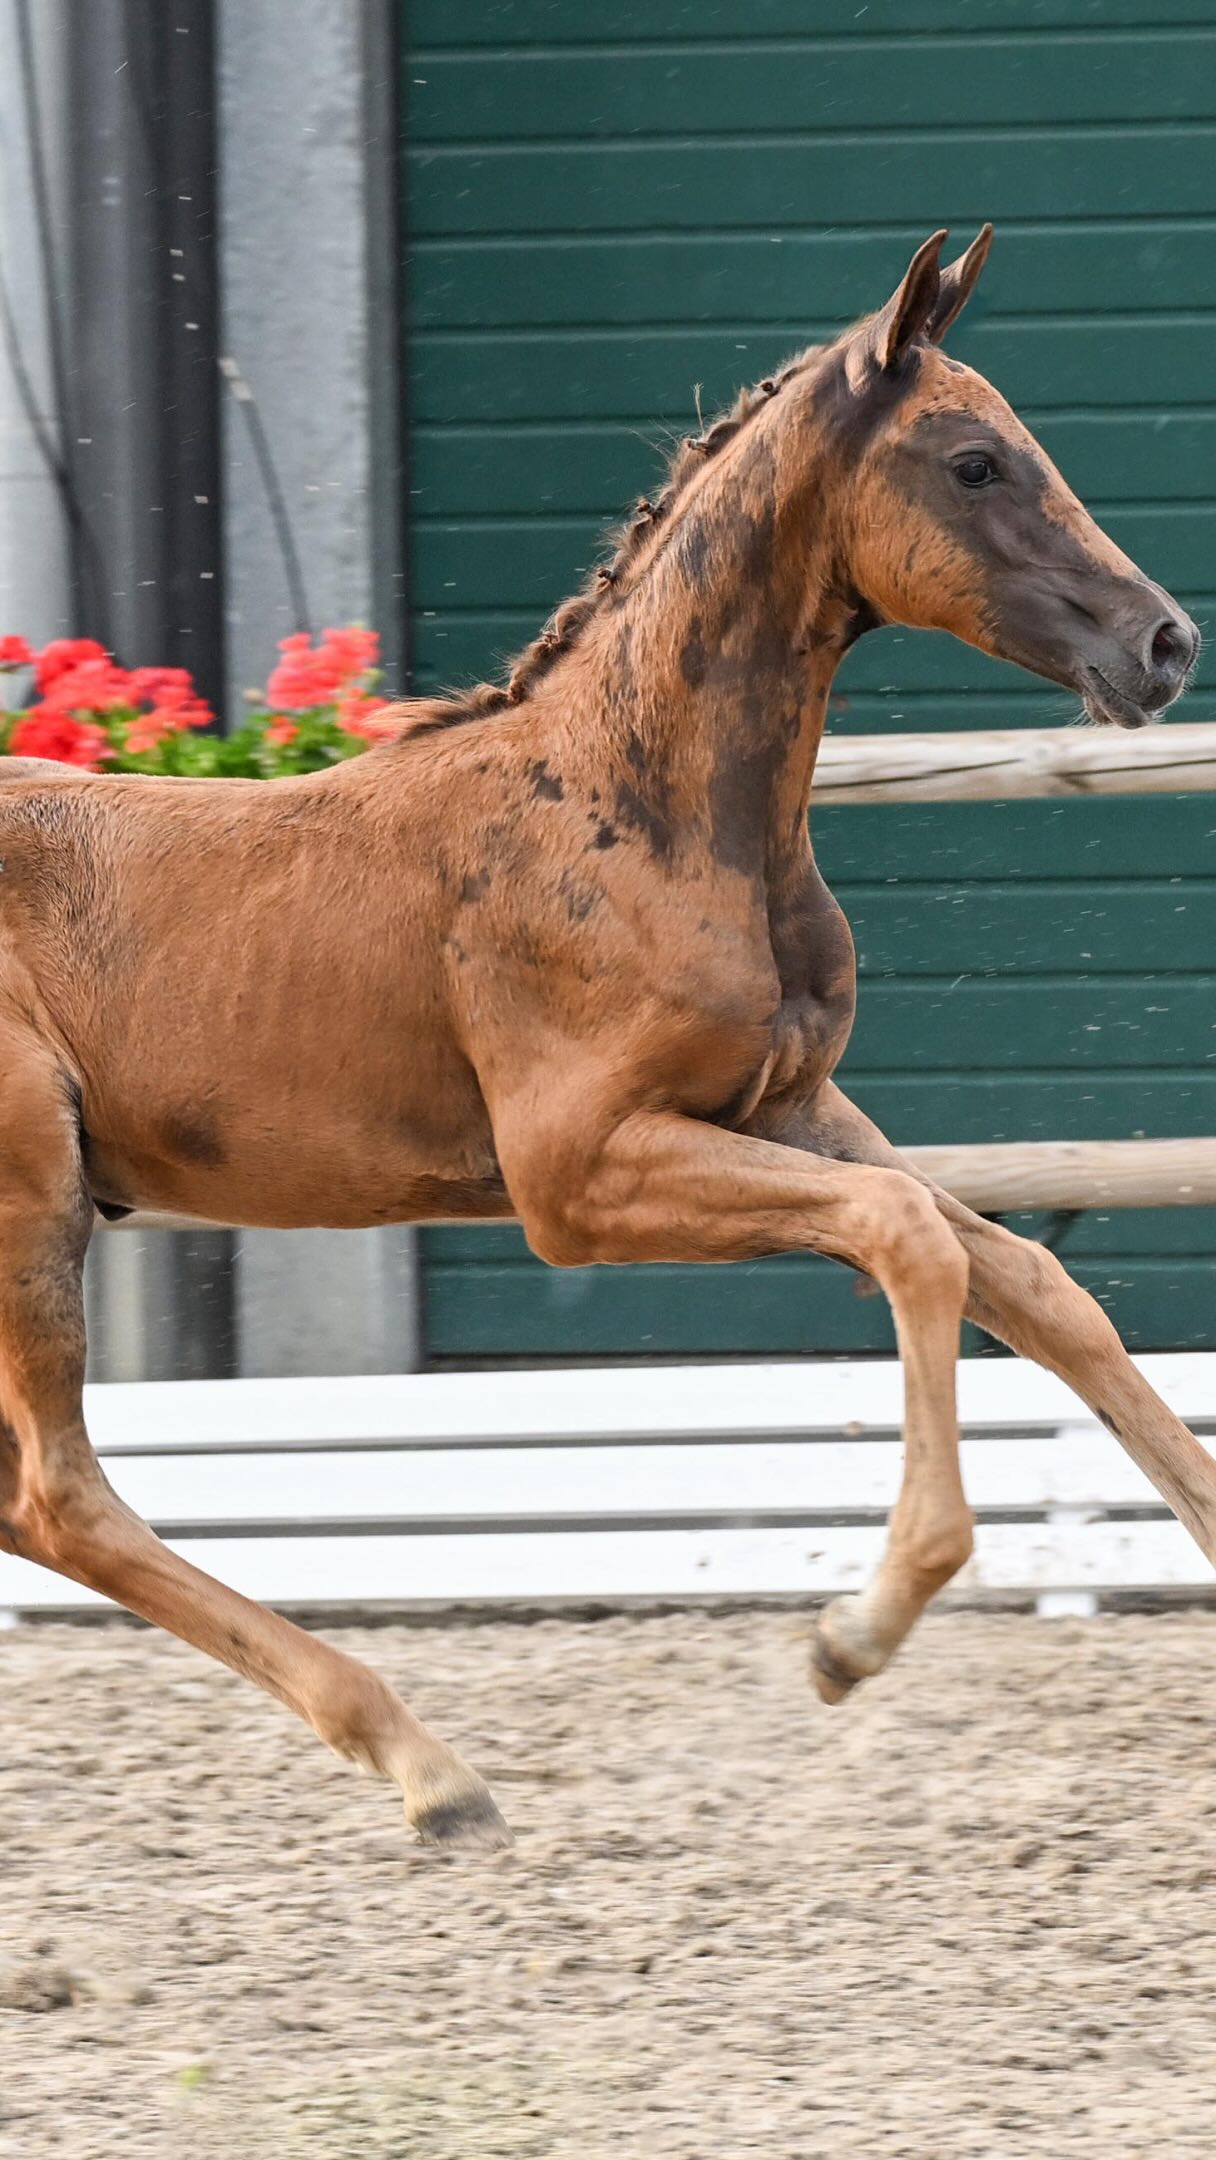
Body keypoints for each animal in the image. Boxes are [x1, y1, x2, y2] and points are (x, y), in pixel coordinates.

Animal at [0, 226, 1207, 1850]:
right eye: (973, 464)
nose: (1165, 643)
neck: (645, 810)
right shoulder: (575, 1177)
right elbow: (910, 1240)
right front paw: (854, 1635)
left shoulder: (793, 1108)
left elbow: (1028, 1279)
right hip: (33, 1194)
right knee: (56, 1494)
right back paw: (430, 1767)